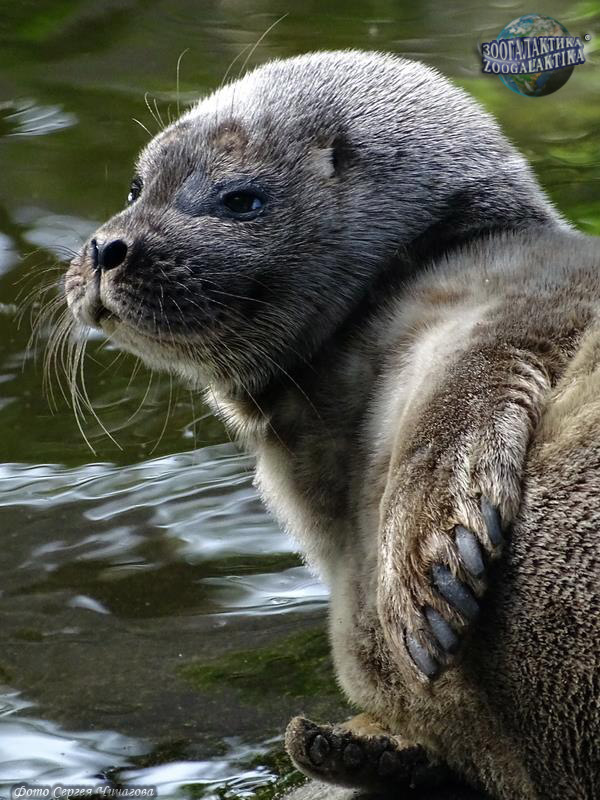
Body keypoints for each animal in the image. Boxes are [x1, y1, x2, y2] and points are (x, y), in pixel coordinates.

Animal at [60, 51, 599, 799]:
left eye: (241, 199)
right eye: (138, 186)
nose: (107, 247)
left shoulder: (519, 294)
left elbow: (456, 409)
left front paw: (426, 577)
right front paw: (366, 750)